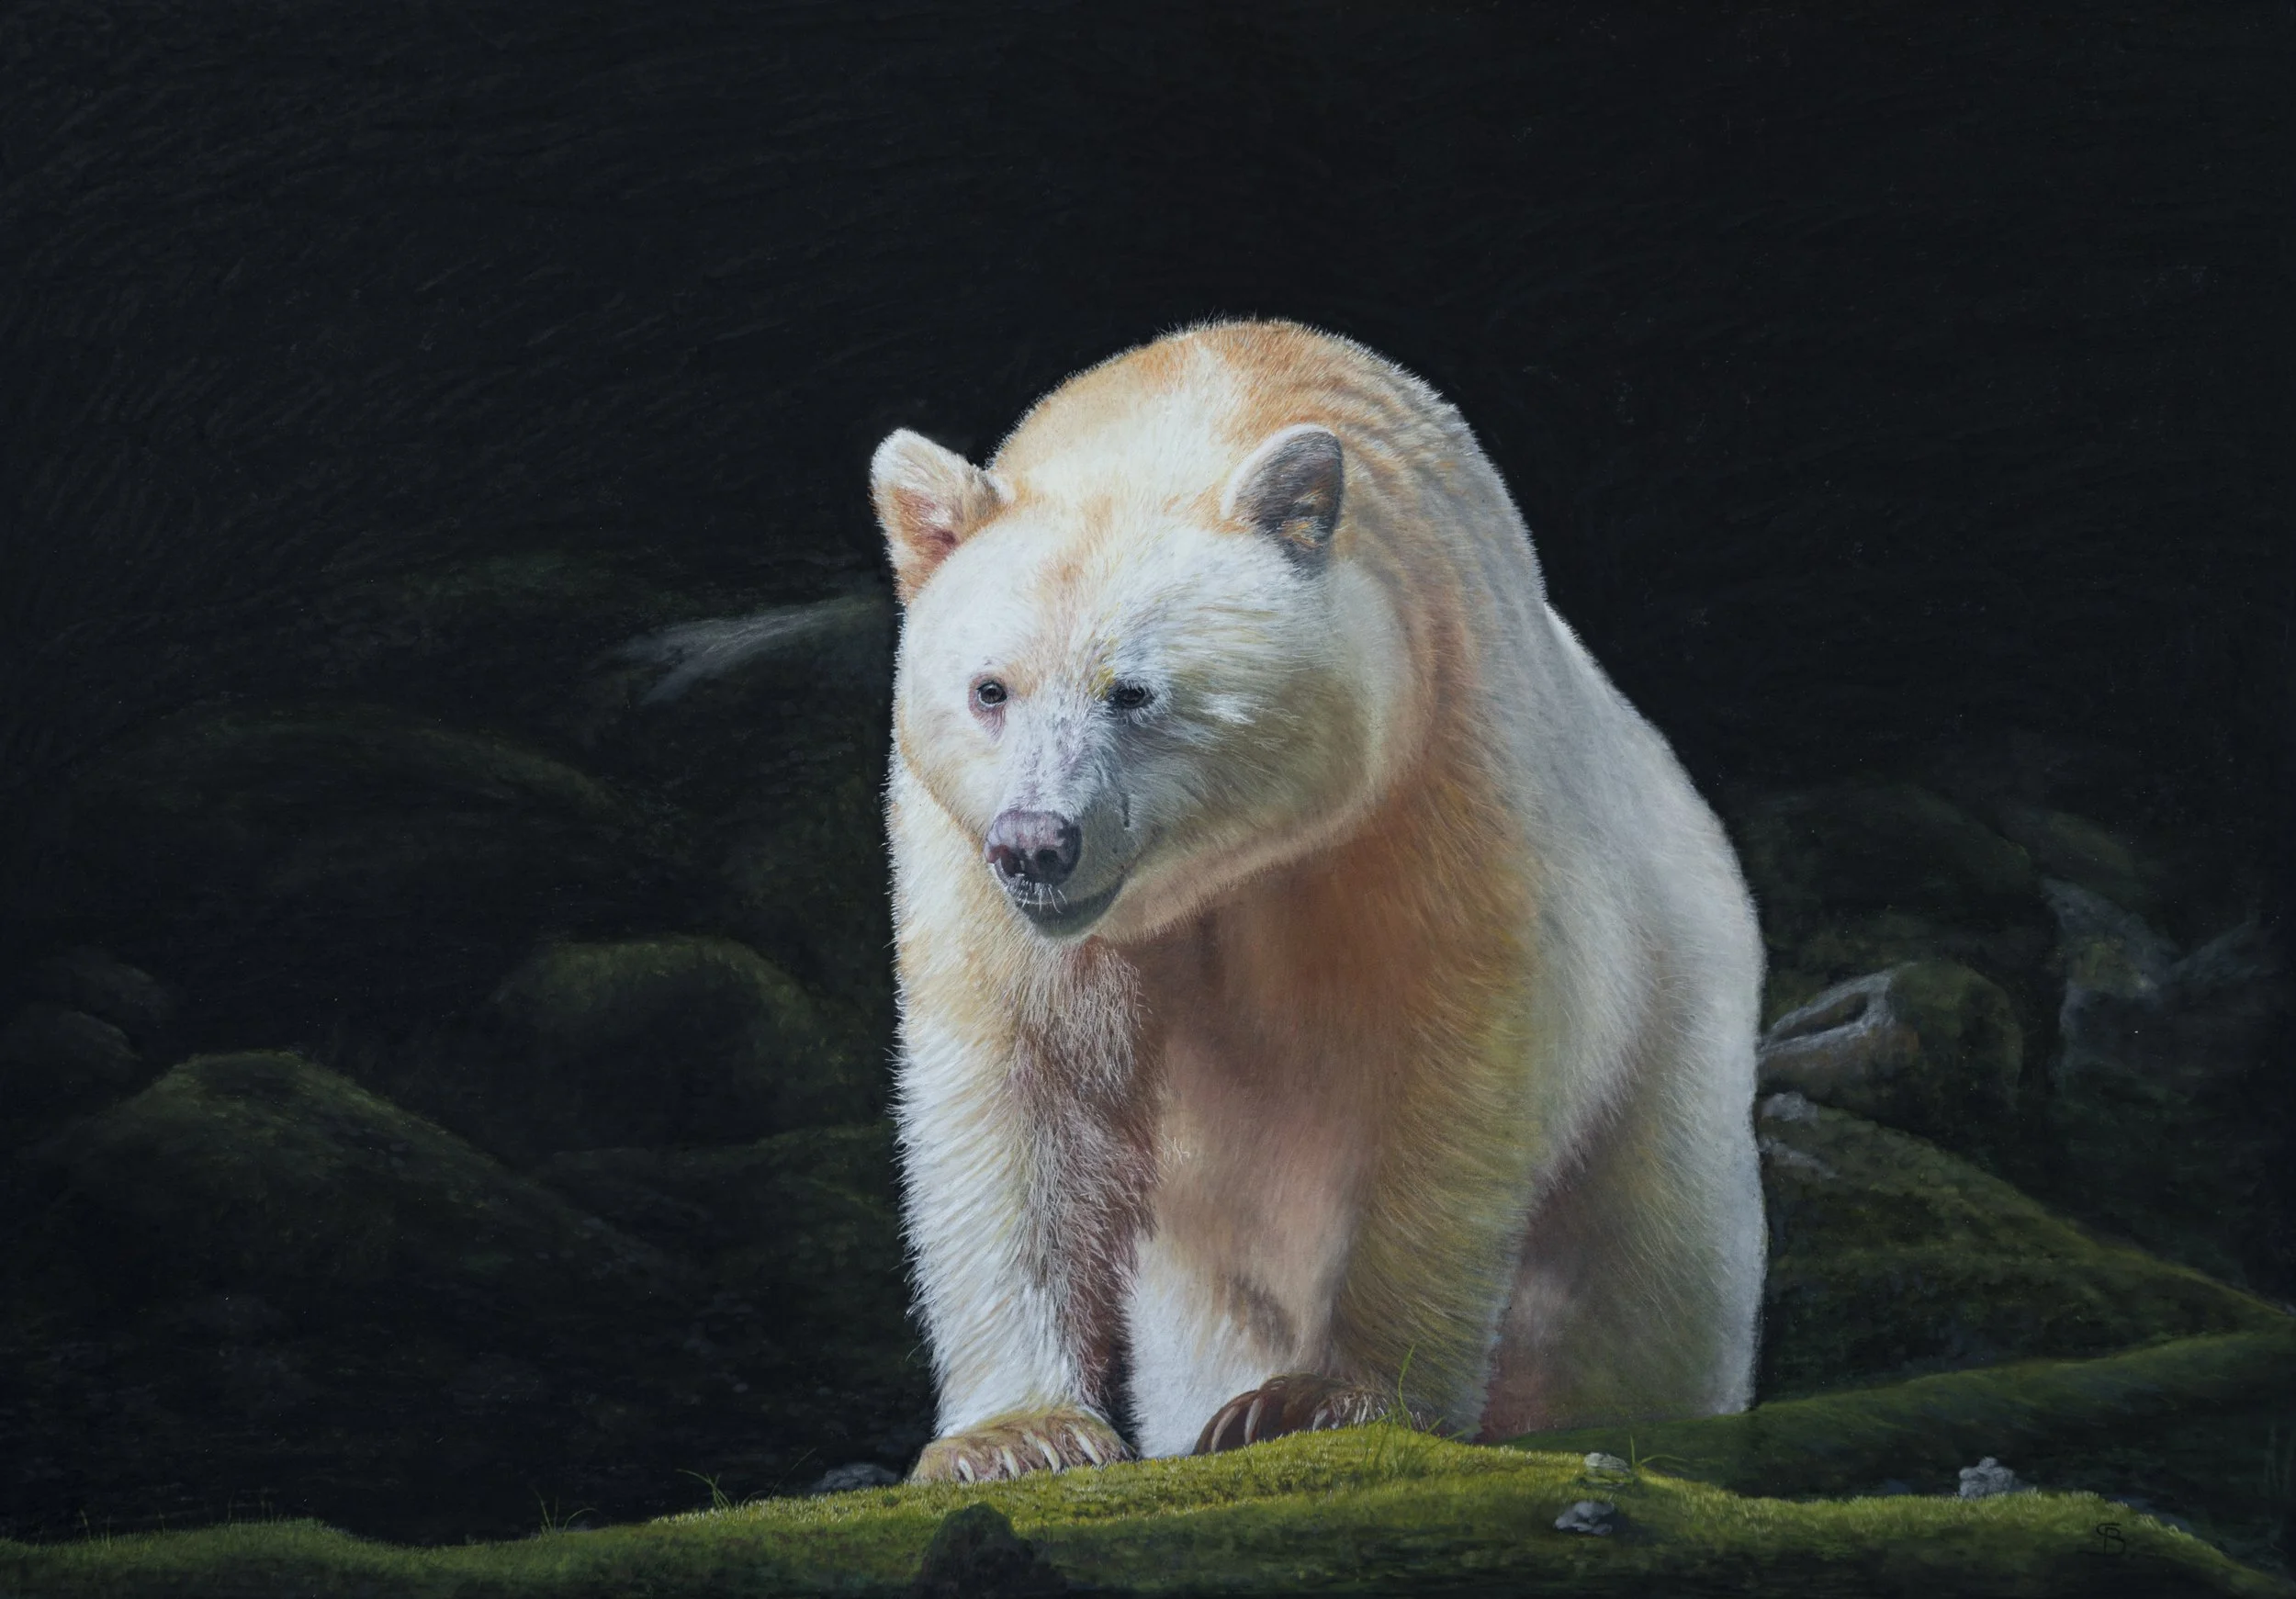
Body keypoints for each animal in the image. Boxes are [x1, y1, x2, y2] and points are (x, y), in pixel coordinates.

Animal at [869, 320, 1766, 1481]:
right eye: (991, 688)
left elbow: (1451, 1071)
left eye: (1133, 691)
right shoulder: (964, 870)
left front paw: (1333, 1398)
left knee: (1638, 1281)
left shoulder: (1432, 775)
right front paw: (1015, 1437)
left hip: (1669, 1048)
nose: (1035, 845)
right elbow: (1019, 1078)